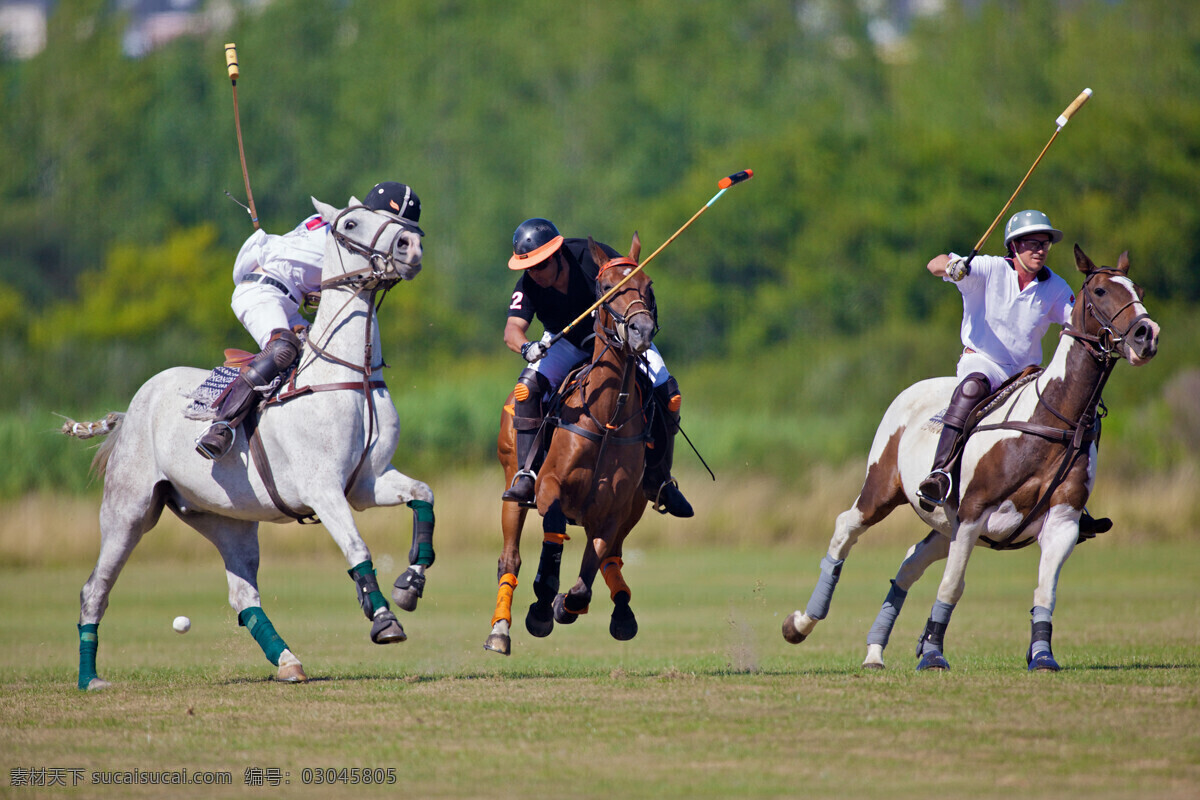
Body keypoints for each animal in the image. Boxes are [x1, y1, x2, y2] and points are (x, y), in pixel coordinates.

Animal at [60, 194, 436, 690]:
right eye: (352, 223)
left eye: (401, 220)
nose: (411, 246)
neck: (348, 375)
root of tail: (132, 407)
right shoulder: (323, 490)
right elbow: (358, 549)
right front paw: (384, 620)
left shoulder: (367, 485)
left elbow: (423, 494)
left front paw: (410, 584)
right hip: (129, 508)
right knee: (95, 587)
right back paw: (90, 678)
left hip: (227, 519)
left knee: (243, 596)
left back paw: (289, 662)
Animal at [484, 232, 657, 657]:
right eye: (605, 287)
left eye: (648, 286)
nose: (641, 331)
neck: (607, 419)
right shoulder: (550, 487)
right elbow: (553, 532)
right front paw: (542, 606)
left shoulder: (614, 509)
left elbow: (591, 568)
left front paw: (565, 604)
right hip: (512, 485)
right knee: (509, 558)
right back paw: (500, 630)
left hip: (636, 507)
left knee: (614, 557)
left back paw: (622, 613)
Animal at [782, 247, 1156, 671]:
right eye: (1100, 290)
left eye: (1139, 290)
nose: (1147, 334)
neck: (1054, 419)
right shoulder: (975, 511)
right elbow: (952, 585)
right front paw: (932, 654)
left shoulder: (1062, 521)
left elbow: (1045, 590)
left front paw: (1042, 654)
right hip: (883, 489)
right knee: (847, 526)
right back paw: (802, 623)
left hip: (945, 523)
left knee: (910, 562)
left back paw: (875, 652)